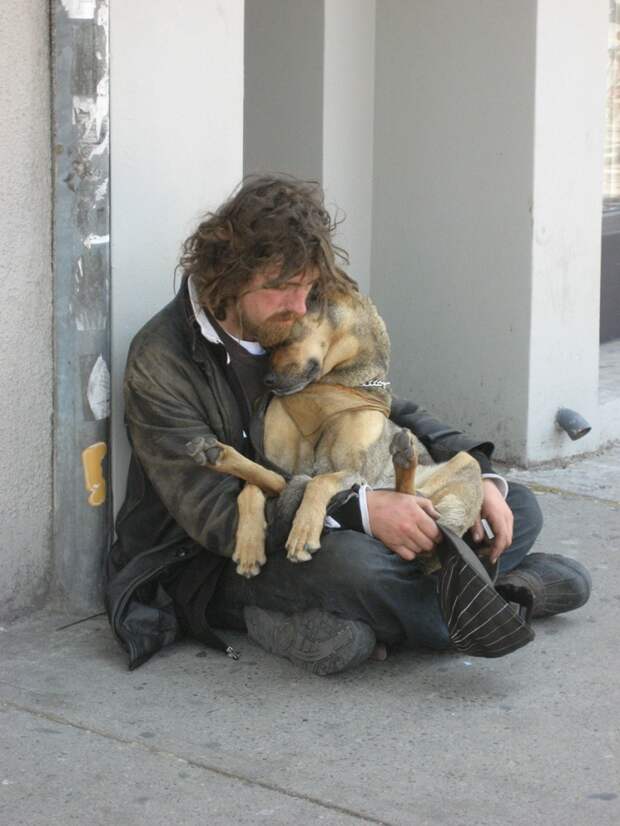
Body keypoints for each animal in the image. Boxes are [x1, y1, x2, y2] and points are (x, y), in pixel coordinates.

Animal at [185, 286, 484, 576]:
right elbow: (252, 488)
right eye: (266, 347)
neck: (330, 388)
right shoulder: (276, 462)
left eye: (285, 340)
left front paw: (303, 531)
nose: (267, 381)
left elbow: (321, 481)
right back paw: (217, 454)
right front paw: (248, 544)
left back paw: (405, 456)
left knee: (411, 502)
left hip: (463, 465)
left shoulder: (355, 471)